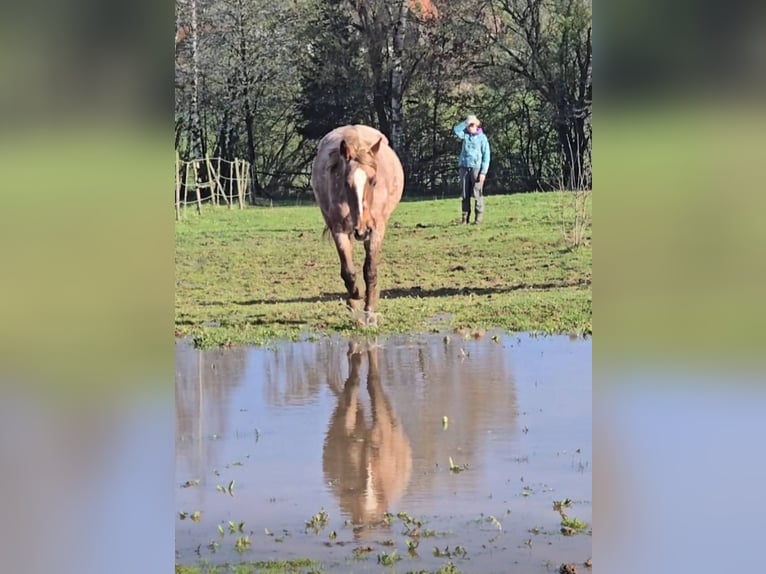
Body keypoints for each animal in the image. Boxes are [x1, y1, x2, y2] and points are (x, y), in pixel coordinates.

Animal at [310, 125, 404, 326]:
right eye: (347, 183)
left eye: (374, 181)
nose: (362, 229)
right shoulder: (338, 229)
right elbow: (348, 272)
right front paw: (354, 298)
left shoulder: (376, 230)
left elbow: (370, 271)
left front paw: (369, 312)